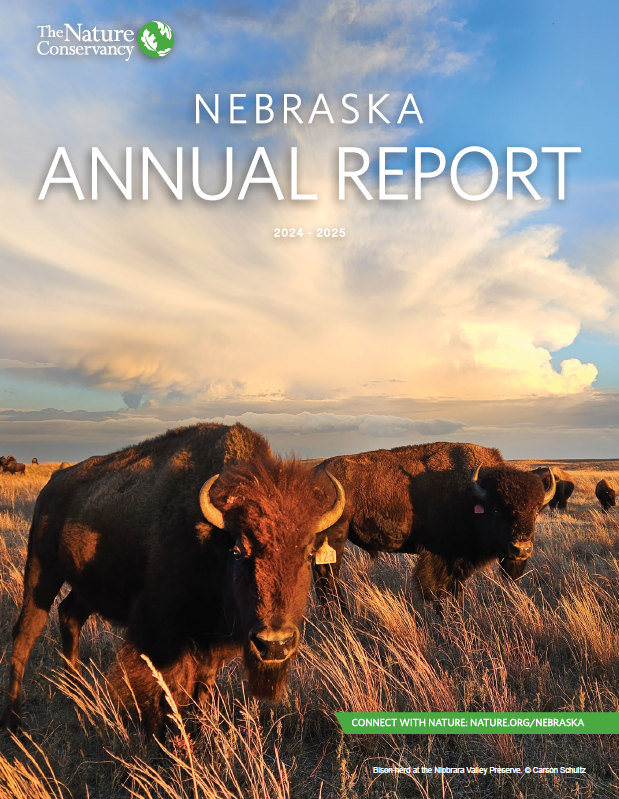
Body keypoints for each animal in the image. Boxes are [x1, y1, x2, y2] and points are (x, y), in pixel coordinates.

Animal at [1, 422, 345, 734]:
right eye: (237, 550)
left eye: (308, 554)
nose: (274, 644)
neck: (208, 542)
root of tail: (52, 485)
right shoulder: (160, 636)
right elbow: (163, 693)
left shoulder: (208, 642)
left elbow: (201, 690)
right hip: (41, 570)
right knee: (26, 632)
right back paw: (15, 722)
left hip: (88, 587)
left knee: (70, 615)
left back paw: (76, 695)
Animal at [311, 442, 555, 606]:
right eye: (497, 509)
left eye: (535, 511)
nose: (521, 549)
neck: (471, 494)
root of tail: (316, 472)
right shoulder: (438, 557)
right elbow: (436, 591)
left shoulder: (458, 562)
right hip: (335, 535)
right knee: (328, 576)